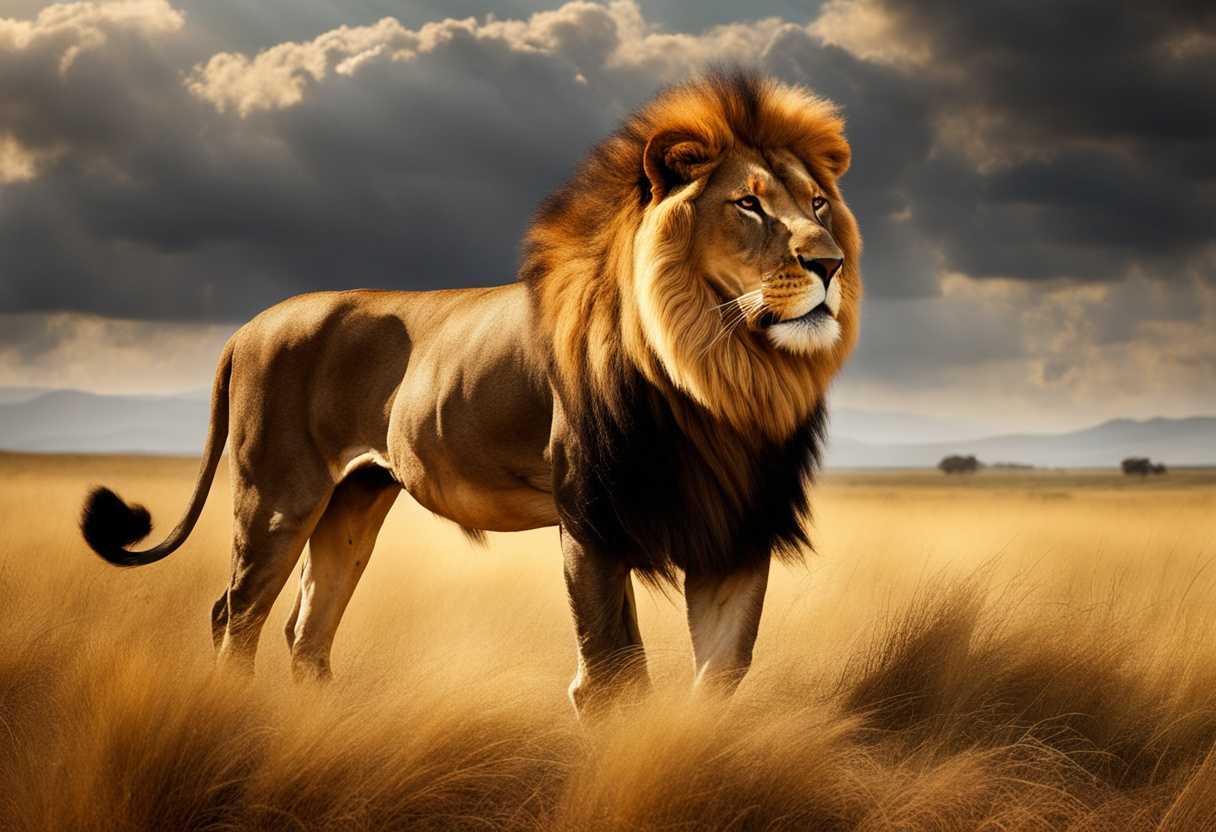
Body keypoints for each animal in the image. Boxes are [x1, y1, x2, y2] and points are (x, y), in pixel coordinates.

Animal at [80, 69, 861, 716]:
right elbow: (615, 676)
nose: (829, 263)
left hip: (353, 504)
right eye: (748, 205)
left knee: (306, 630)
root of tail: (246, 328)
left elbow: (720, 677)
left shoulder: (737, 534)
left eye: (819, 203)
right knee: (235, 615)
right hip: (277, 499)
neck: (721, 374)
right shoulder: (591, 523)